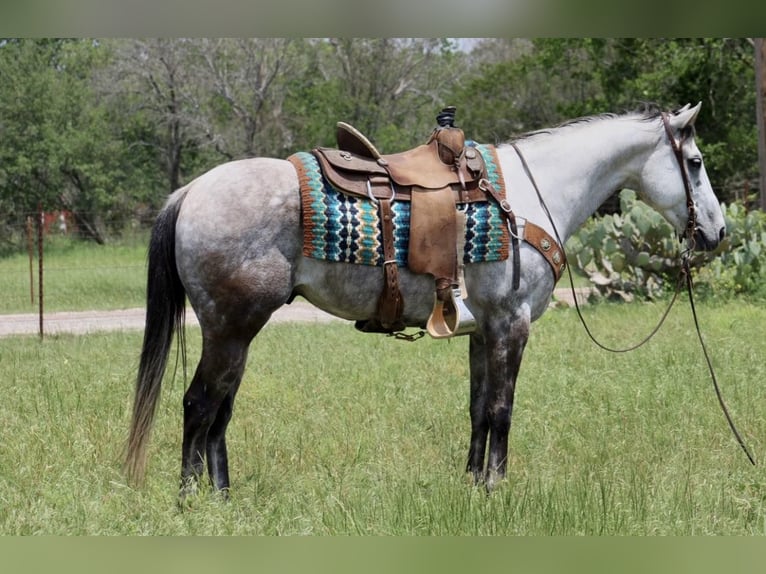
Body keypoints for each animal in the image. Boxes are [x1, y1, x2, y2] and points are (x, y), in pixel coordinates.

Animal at [124, 103, 728, 500]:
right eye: (696, 162)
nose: (718, 232)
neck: (530, 195)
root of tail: (191, 192)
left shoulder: (483, 330)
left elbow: (479, 409)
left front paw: (473, 484)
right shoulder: (512, 325)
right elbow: (503, 409)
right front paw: (497, 489)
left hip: (236, 333)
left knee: (220, 411)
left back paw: (222, 498)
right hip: (231, 328)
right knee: (199, 405)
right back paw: (190, 502)